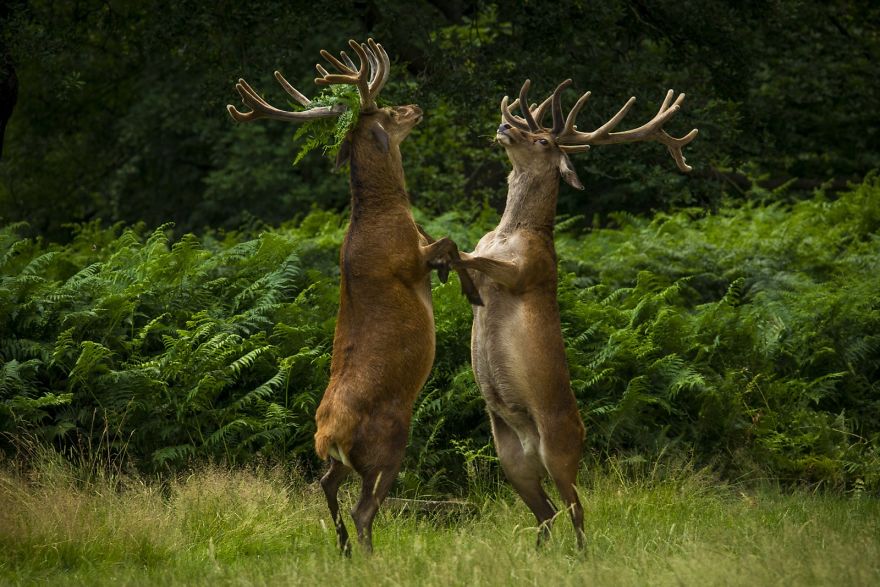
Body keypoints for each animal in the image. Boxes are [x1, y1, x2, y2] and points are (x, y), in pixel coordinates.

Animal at [227, 38, 481, 554]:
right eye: (387, 110)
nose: (415, 107)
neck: (387, 214)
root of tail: (327, 436)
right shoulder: (409, 260)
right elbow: (448, 243)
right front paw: (466, 286)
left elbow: (447, 241)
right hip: (388, 442)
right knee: (365, 509)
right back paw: (367, 554)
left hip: (341, 461)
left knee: (325, 485)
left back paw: (343, 548)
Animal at [452, 79, 698, 548]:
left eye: (543, 140)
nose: (503, 127)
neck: (511, 233)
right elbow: (467, 260)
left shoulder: (528, 271)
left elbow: (473, 257)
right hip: (510, 459)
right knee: (546, 512)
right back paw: (539, 552)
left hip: (561, 449)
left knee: (577, 510)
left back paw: (581, 554)